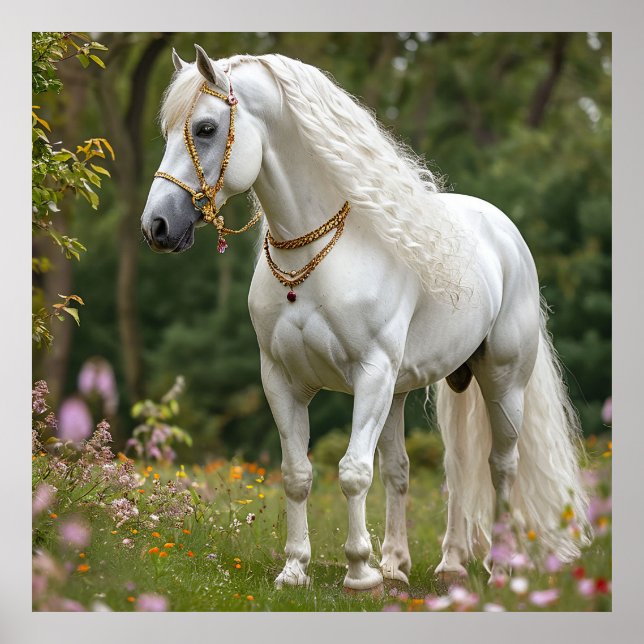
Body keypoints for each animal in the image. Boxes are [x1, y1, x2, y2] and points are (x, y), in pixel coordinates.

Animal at [141, 45, 591, 592]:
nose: (157, 225)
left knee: (499, 467)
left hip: (502, 382)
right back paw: (419, 565)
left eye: (205, 128)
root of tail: (506, 234)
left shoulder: (371, 375)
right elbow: (298, 474)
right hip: (407, 391)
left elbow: (353, 471)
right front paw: (296, 569)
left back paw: (500, 567)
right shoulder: (281, 380)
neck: (313, 259)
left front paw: (359, 572)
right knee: (433, 469)